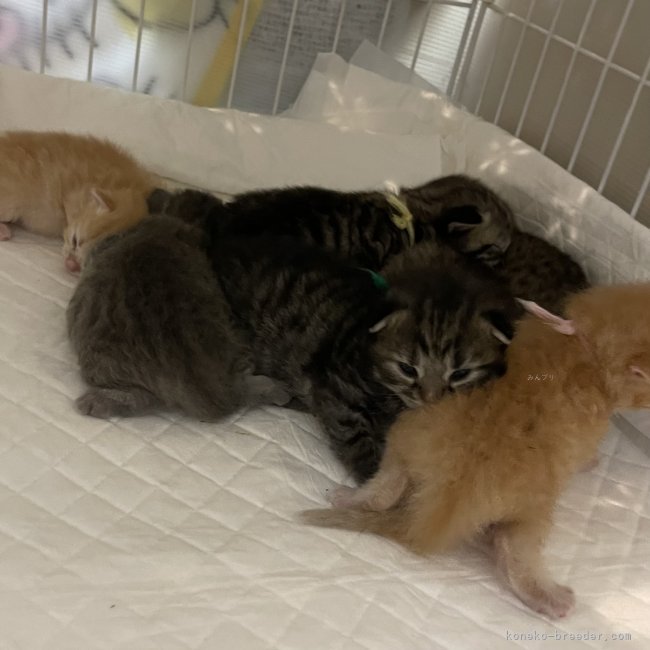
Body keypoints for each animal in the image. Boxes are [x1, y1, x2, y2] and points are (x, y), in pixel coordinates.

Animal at [302, 284, 650, 618]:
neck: (583, 350)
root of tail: (442, 508)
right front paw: (591, 462)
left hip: (407, 434)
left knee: (386, 488)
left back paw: (348, 498)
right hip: (535, 505)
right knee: (511, 545)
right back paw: (549, 598)